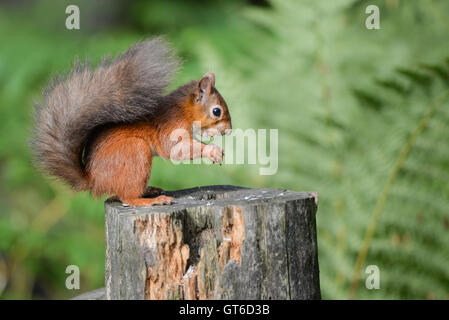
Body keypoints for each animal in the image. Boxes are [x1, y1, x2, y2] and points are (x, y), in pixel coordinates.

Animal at [31, 37, 231, 206]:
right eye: (216, 111)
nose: (228, 131)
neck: (185, 111)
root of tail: (94, 181)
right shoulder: (172, 126)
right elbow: (174, 149)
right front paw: (212, 151)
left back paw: (149, 190)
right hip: (135, 151)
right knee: (127, 197)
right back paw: (151, 200)